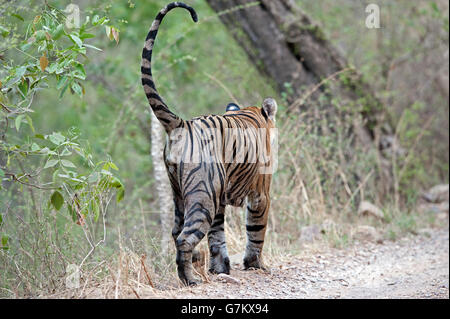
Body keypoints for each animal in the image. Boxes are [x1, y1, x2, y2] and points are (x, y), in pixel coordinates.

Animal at [141, 1, 276, 288]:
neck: (252, 112)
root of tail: (181, 123)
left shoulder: (220, 196)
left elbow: (217, 236)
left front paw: (219, 268)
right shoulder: (260, 192)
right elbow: (256, 229)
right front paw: (255, 265)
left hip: (181, 193)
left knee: (176, 231)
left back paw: (194, 268)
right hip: (203, 195)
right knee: (185, 237)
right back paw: (190, 280)